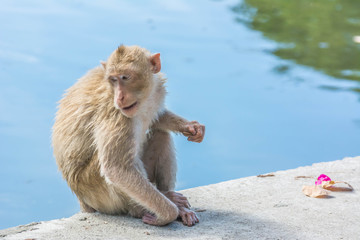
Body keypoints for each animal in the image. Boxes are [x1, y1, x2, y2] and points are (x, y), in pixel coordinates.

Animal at [52, 45, 205, 227]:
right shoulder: (115, 113)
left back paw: (168, 195)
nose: (120, 97)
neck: (144, 99)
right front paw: (167, 215)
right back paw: (150, 208)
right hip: (96, 193)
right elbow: (117, 169)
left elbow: (157, 119)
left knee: (161, 134)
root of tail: (82, 200)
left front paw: (190, 127)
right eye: (113, 80)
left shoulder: (157, 90)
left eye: (125, 77)